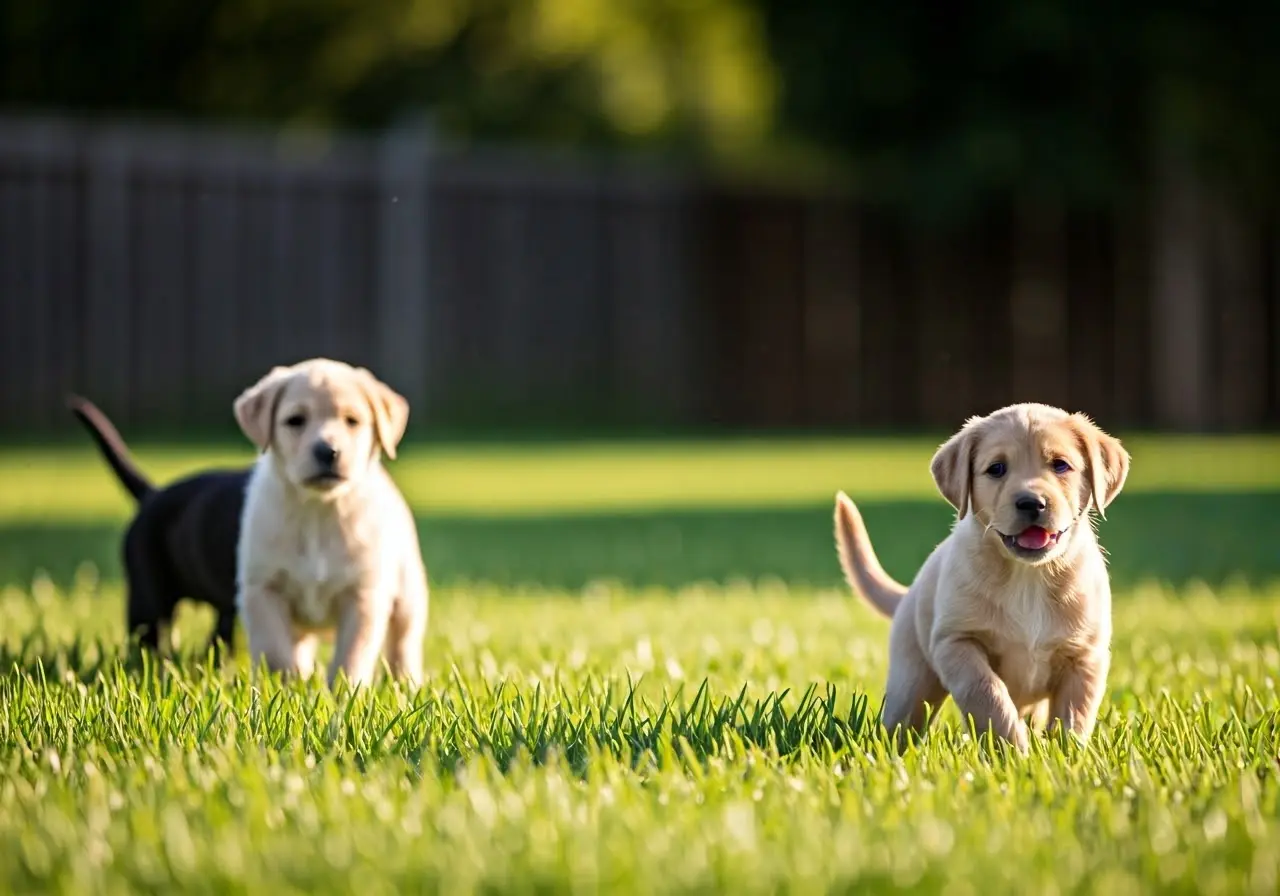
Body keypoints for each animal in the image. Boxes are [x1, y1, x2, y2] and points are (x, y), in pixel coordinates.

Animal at [232, 360, 427, 691]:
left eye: (352, 421)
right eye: (295, 420)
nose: (328, 451)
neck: (318, 512)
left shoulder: (363, 595)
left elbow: (351, 655)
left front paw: (345, 693)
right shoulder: (263, 590)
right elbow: (276, 653)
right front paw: (286, 690)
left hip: (407, 594)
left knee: (403, 643)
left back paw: (407, 684)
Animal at [839, 401, 1131, 752]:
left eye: (1060, 465)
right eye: (996, 469)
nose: (1032, 503)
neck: (1028, 576)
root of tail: (909, 593)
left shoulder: (1085, 655)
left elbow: (1074, 714)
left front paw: (1066, 754)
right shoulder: (956, 642)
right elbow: (987, 693)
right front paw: (1012, 749)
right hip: (911, 682)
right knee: (902, 721)